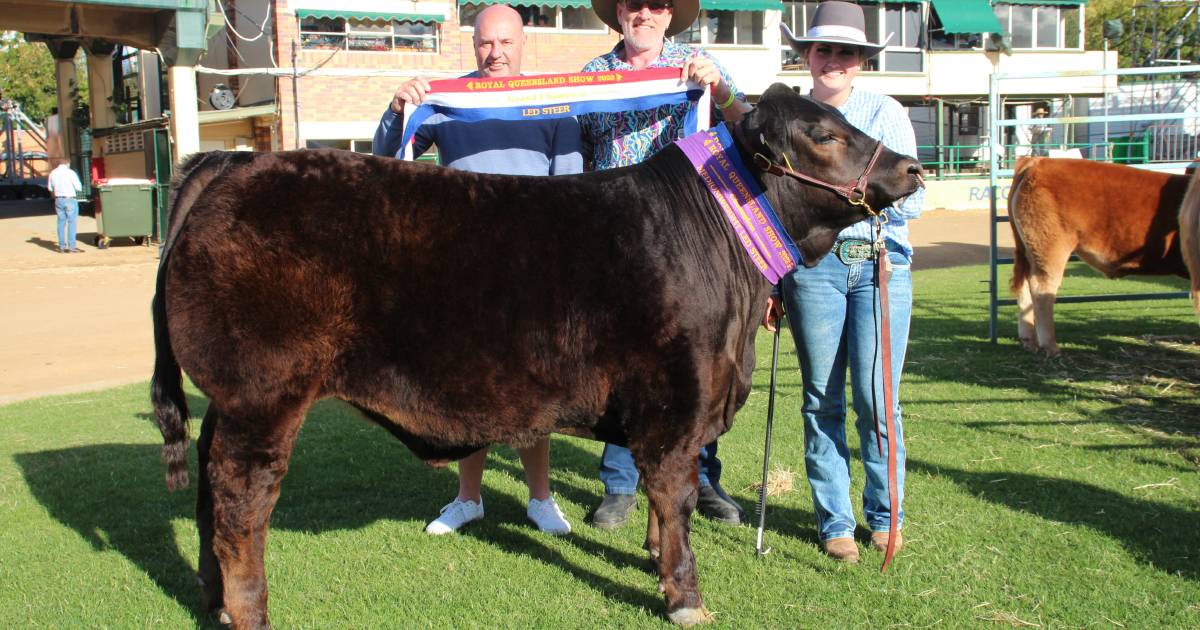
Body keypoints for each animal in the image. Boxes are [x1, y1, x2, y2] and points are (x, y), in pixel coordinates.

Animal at [1012, 154, 1190, 355]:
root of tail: (1038, 161)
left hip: (1029, 250)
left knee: (1025, 285)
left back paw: (1029, 342)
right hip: (1050, 246)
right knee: (1042, 288)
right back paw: (1051, 347)